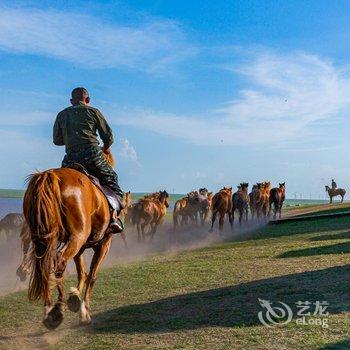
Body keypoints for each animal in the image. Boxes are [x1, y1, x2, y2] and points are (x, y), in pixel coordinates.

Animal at [23, 150, 119, 328]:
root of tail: (49, 175)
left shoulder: (80, 248)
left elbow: (82, 273)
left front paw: (75, 297)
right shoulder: (104, 244)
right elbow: (92, 275)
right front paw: (83, 310)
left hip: (44, 241)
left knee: (45, 266)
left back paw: (49, 311)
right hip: (77, 237)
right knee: (59, 261)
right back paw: (58, 309)